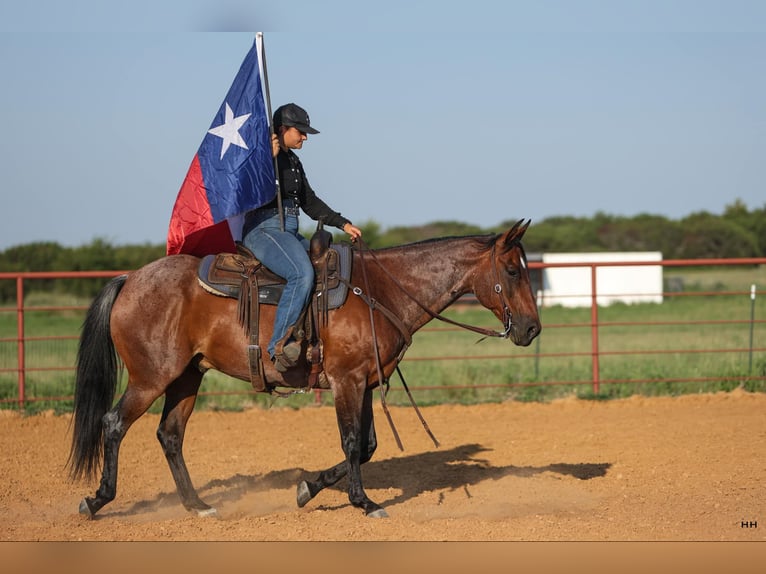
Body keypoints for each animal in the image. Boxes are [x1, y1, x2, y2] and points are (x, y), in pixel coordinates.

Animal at [68, 219, 541, 519]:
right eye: (512, 270)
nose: (533, 328)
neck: (380, 289)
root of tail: (129, 279)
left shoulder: (366, 382)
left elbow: (367, 446)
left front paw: (308, 489)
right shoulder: (347, 381)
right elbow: (352, 443)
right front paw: (364, 503)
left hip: (187, 377)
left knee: (170, 435)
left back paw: (198, 505)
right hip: (151, 378)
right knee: (113, 423)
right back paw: (97, 500)